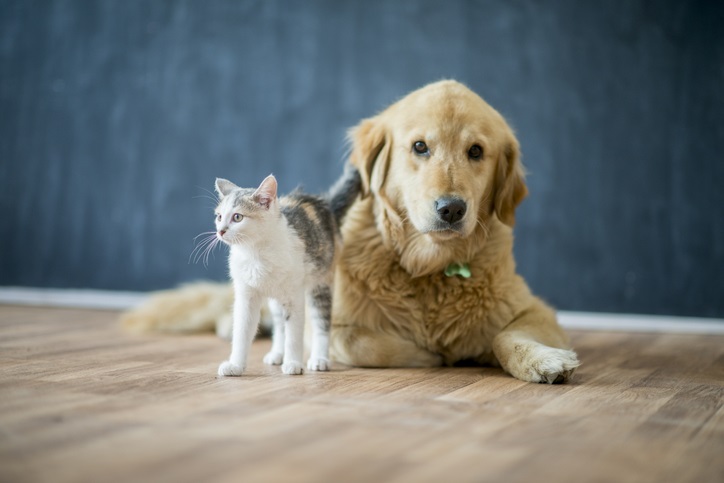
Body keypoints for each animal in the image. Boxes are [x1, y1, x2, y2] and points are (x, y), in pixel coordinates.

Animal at [212, 170, 360, 378]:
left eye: (238, 217)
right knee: (280, 324)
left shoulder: (295, 296)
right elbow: (242, 331)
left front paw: (293, 363)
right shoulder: (246, 295)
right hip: (277, 299)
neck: (255, 253)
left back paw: (319, 359)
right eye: (219, 217)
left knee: (321, 322)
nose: (221, 231)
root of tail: (323, 203)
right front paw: (235, 365)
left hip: (321, 281)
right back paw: (277, 354)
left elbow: (295, 332)